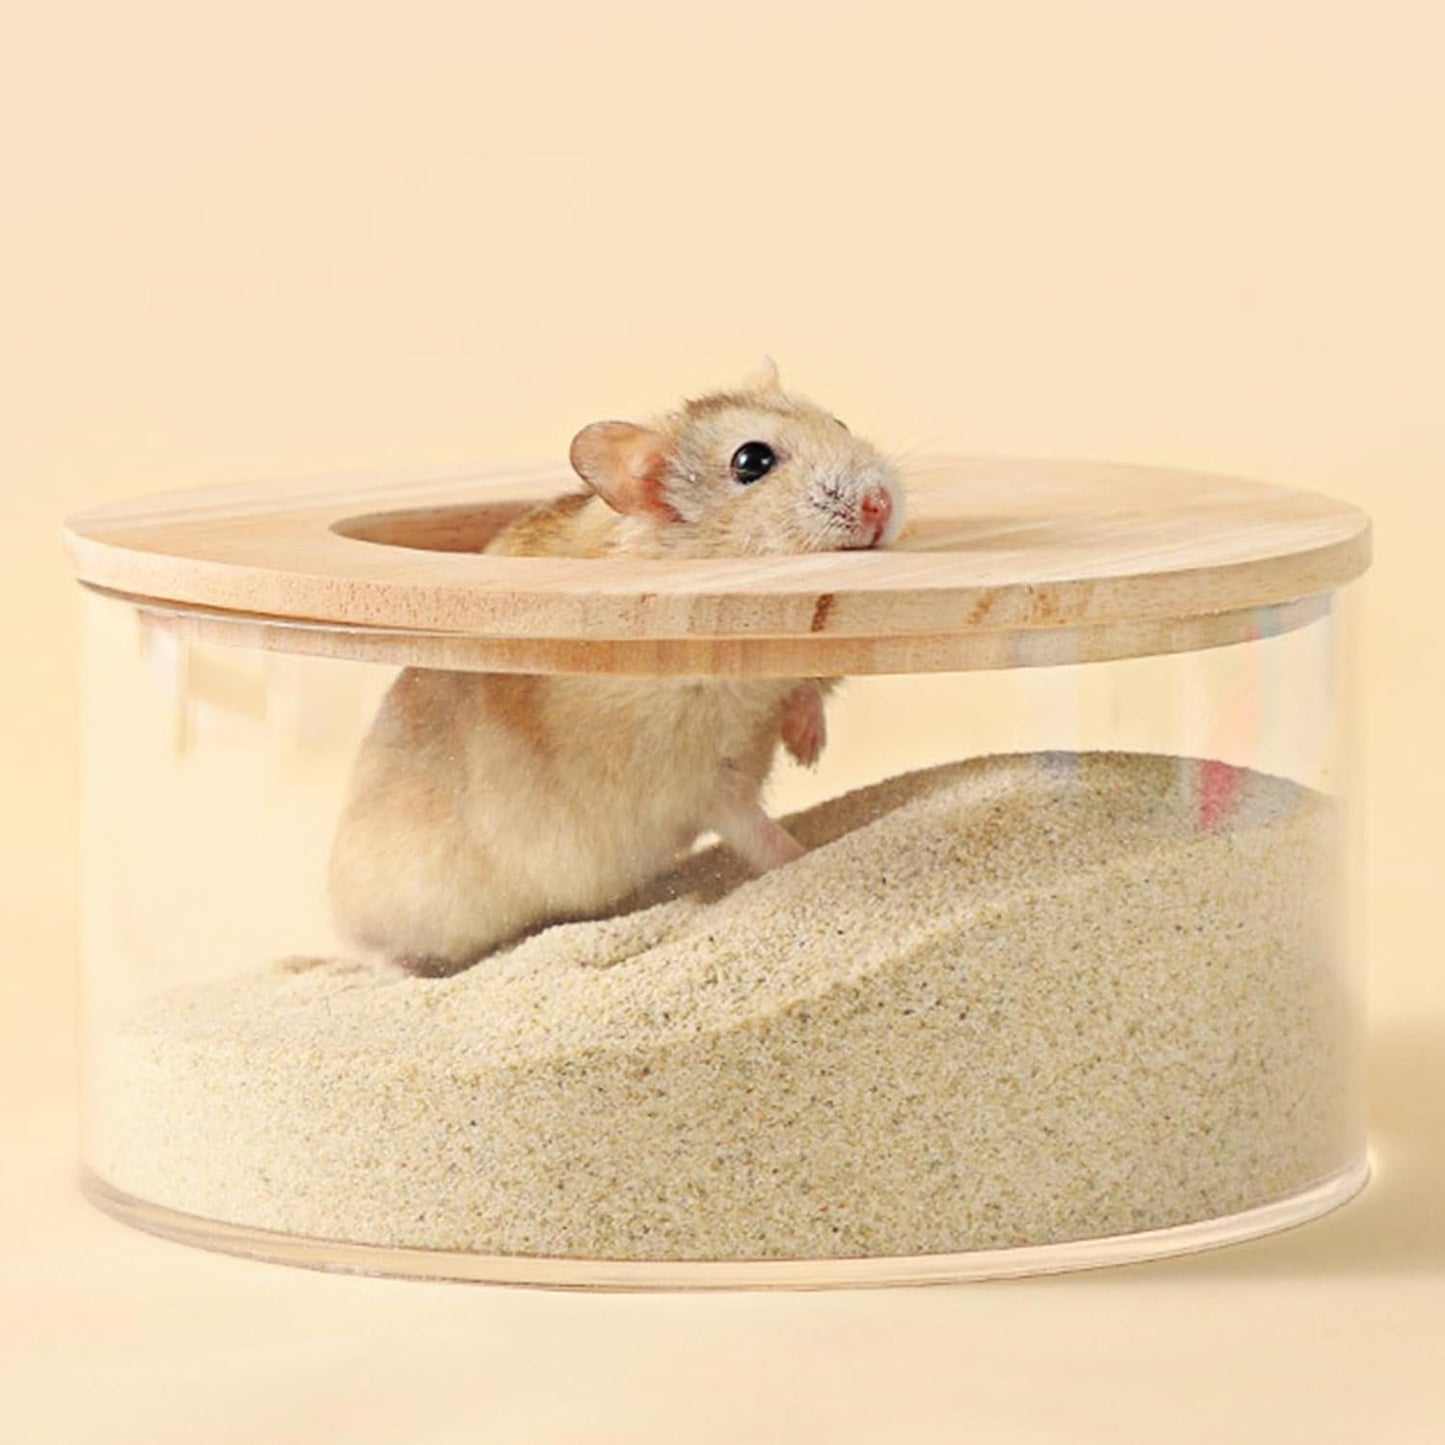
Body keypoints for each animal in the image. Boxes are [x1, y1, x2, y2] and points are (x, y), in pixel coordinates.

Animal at [328, 361, 905, 974]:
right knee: (376, 953)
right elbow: (757, 835)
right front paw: (811, 852)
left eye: (839, 422)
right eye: (752, 462)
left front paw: (807, 751)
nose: (879, 504)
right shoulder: (704, 780)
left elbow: (804, 689)